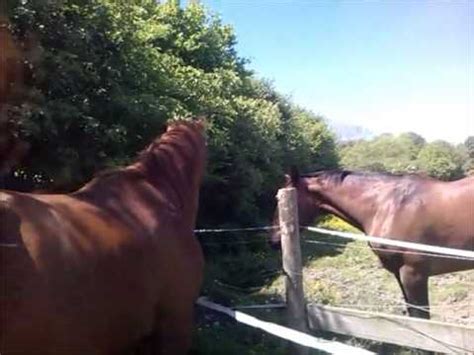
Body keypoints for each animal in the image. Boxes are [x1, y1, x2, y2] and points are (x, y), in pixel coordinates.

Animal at [270, 170, 474, 320]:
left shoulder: (413, 274)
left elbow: (421, 317)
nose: (272, 239)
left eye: (280, 200)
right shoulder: (400, 274)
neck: (387, 205)